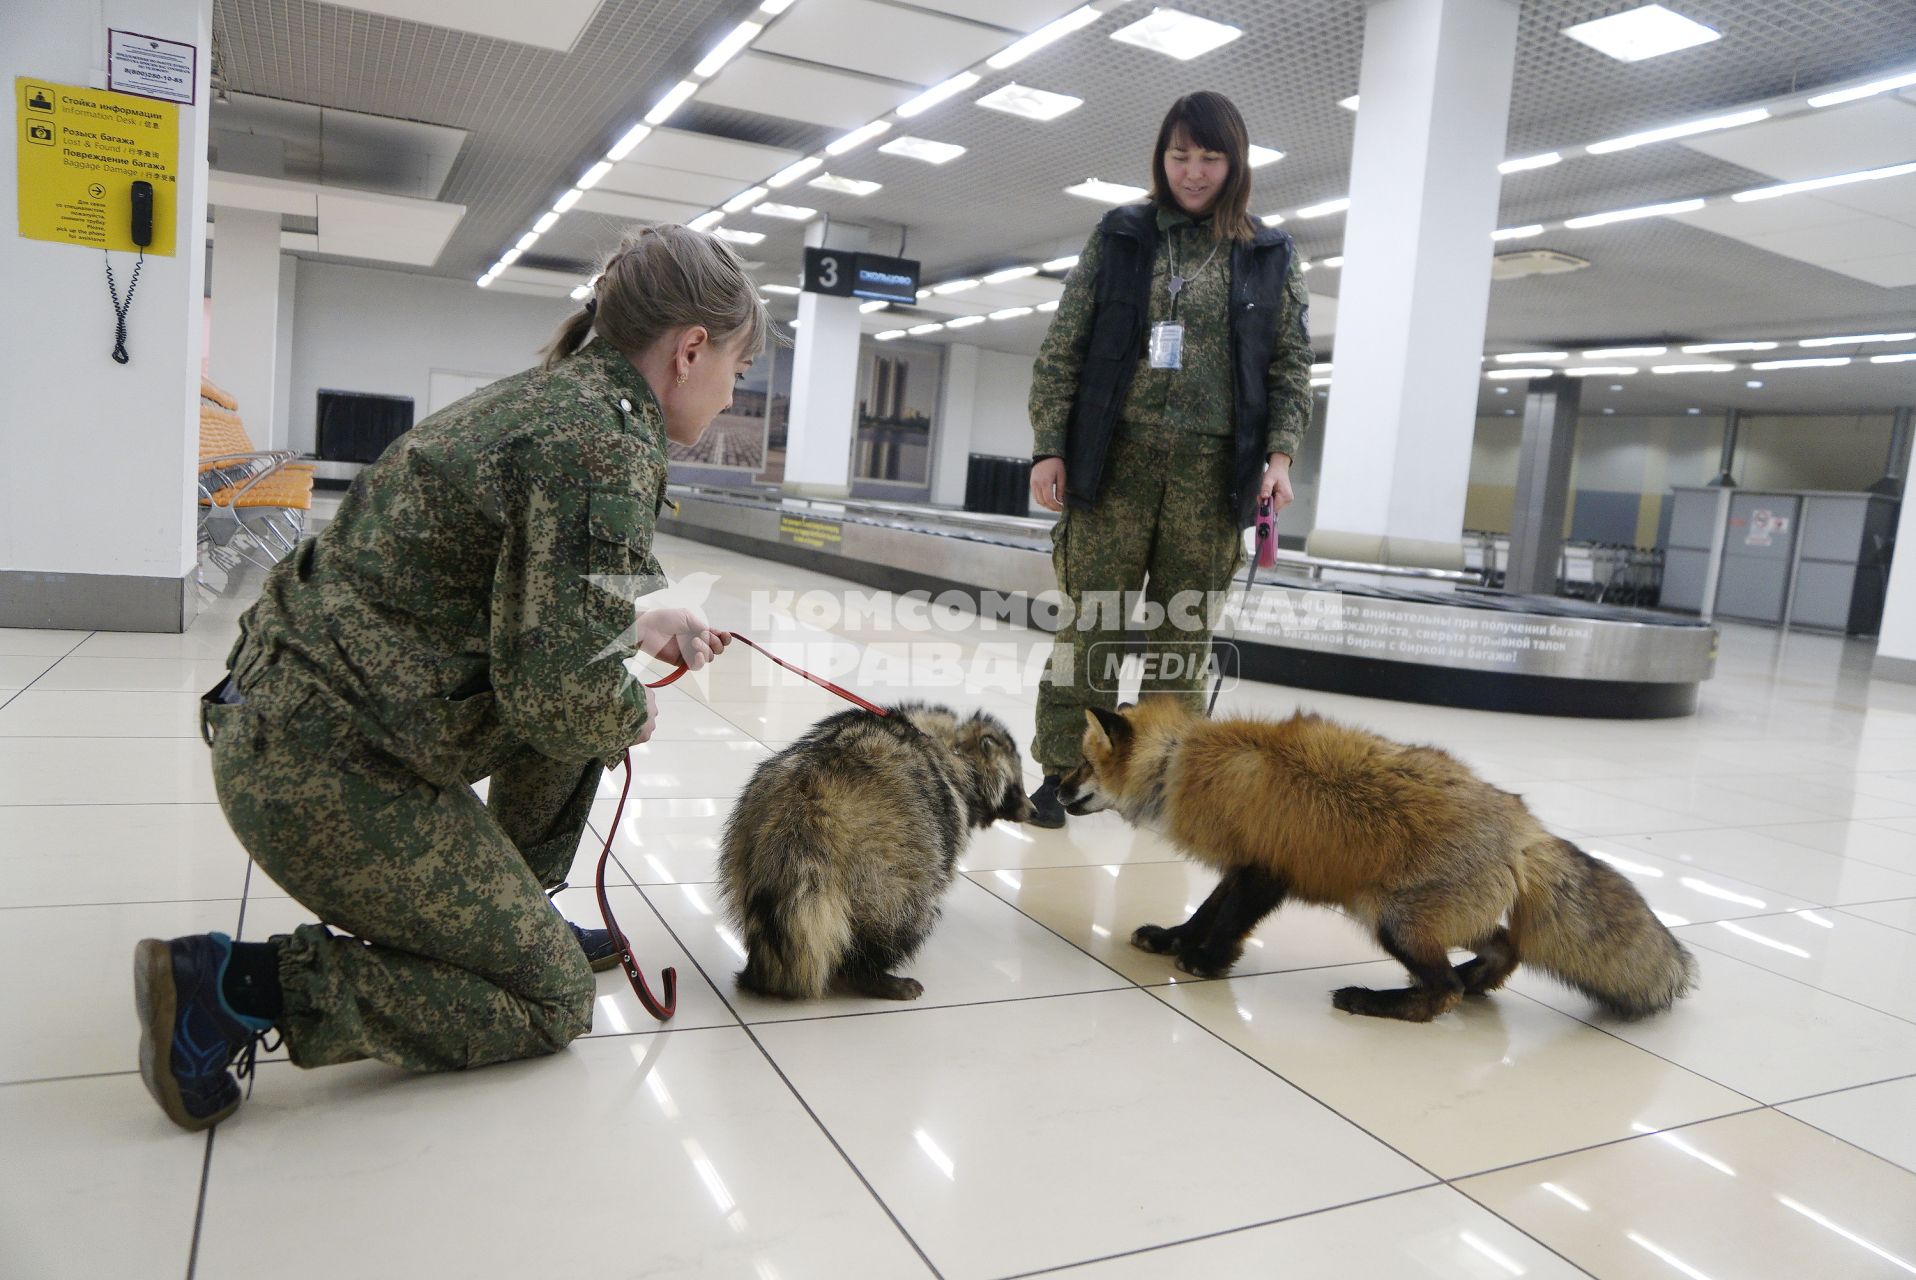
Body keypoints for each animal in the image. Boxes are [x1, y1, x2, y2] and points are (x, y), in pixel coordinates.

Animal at [720, 705, 1034, 1004]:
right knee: (903, 911)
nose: (1034, 810)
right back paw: (872, 973)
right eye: (1017, 786)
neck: (947, 742)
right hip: (890, 861)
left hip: (743, 842)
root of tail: (806, 805)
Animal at [1057, 693, 1701, 1027]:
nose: (1052, 794)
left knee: (1441, 990)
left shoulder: (1264, 872)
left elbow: (1226, 922)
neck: (1180, 762)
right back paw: (1473, 983)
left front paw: (1206, 963)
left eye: (1082, 764)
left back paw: (1376, 1001)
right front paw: (1172, 939)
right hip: (1436, 919)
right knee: (1502, 951)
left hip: (1390, 918)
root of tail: (1525, 829)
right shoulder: (1243, 864)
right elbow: (1202, 913)